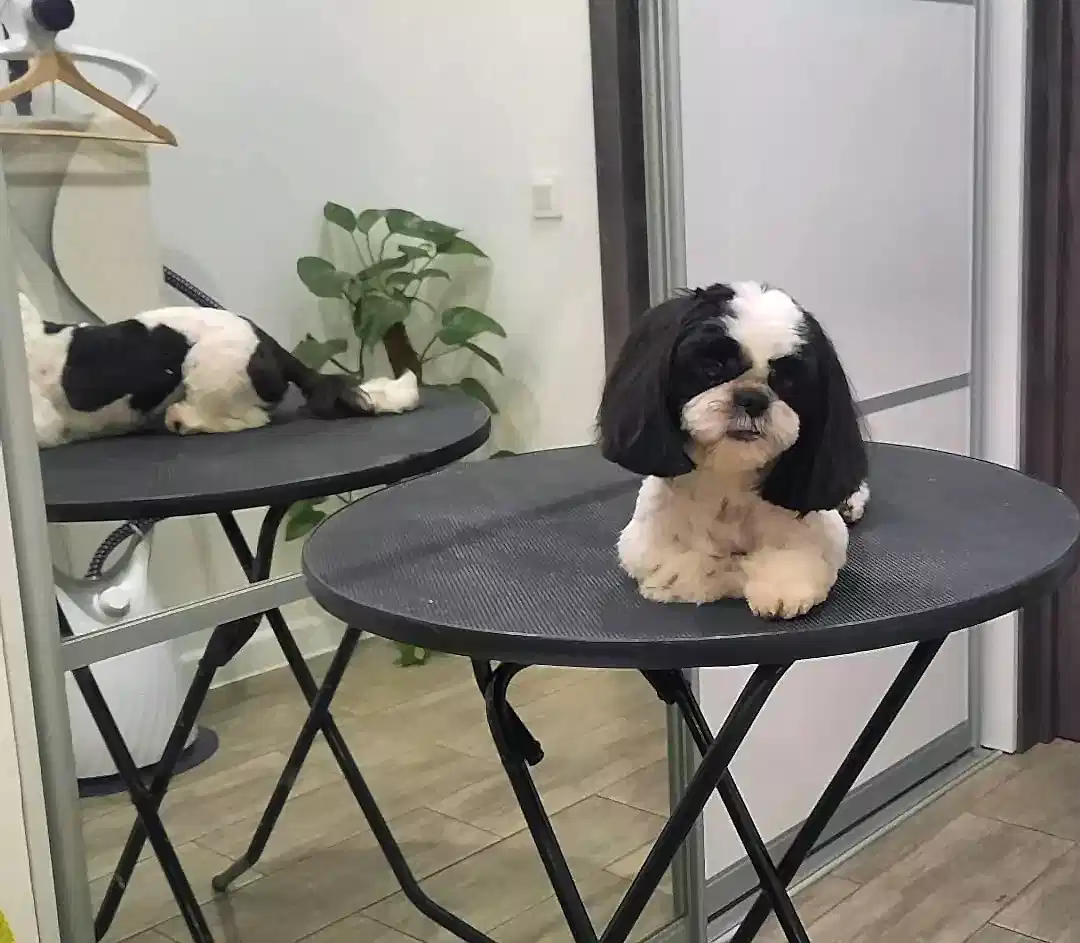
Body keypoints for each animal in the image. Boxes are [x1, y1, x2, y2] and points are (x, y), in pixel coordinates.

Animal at [598, 281, 868, 618]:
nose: (753, 398)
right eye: (713, 366)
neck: (729, 478)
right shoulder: (645, 542)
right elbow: (687, 563)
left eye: (788, 381)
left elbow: (796, 553)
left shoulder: (819, 530)